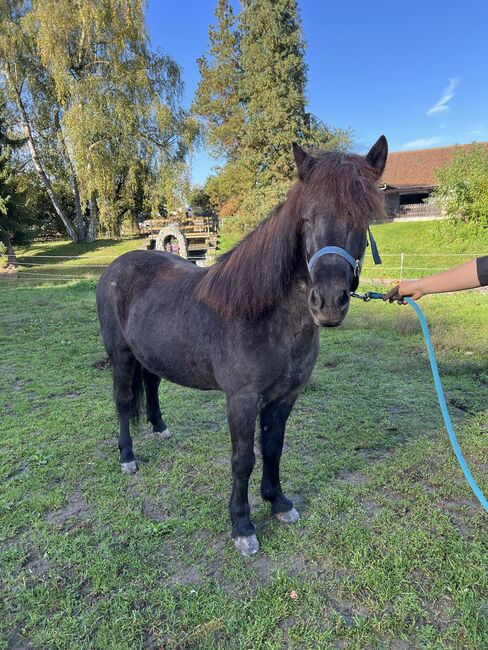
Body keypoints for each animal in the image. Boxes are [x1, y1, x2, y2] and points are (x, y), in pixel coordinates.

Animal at [96, 135, 388, 552]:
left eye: (362, 219)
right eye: (306, 218)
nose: (329, 302)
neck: (263, 315)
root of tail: (116, 267)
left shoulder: (285, 397)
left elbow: (273, 448)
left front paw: (278, 502)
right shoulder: (242, 399)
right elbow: (243, 459)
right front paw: (242, 525)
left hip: (149, 353)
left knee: (151, 383)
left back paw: (160, 427)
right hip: (120, 355)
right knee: (122, 402)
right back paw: (127, 457)